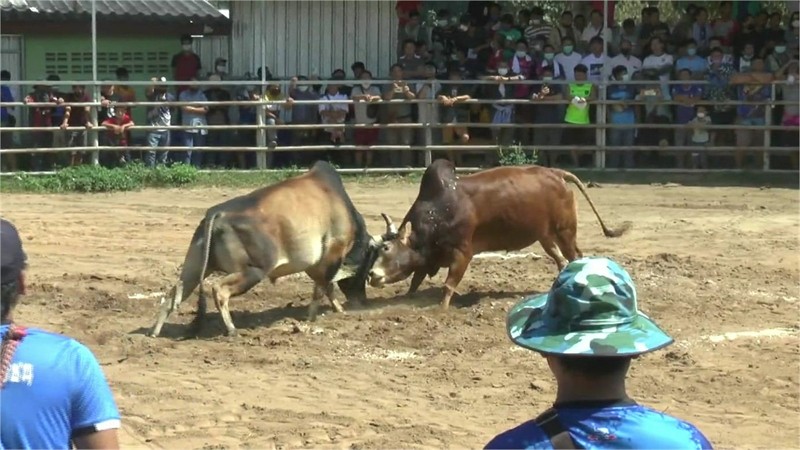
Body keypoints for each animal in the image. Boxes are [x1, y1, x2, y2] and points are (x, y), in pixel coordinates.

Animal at [150, 162, 382, 338]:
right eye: (367, 269)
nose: (361, 300)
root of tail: (217, 213)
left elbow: (326, 286)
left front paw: (337, 309)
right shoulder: (331, 254)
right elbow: (323, 287)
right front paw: (312, 317)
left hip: (195, 268)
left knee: (174, 293)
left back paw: (154, 332)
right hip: (253, 270)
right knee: (219, 290)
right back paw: (232, 330)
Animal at [368, 158, 632, 310]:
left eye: (387, 249)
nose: (371, 274)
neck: (440, 208)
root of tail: (557, 174)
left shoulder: (462, 252)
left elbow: (449, 284)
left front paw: (440, 310)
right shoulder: (428, 256)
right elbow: (416, 279)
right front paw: (408, 298)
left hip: (565, 230)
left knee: (574, 256)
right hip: (545, 235)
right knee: (559, 259)